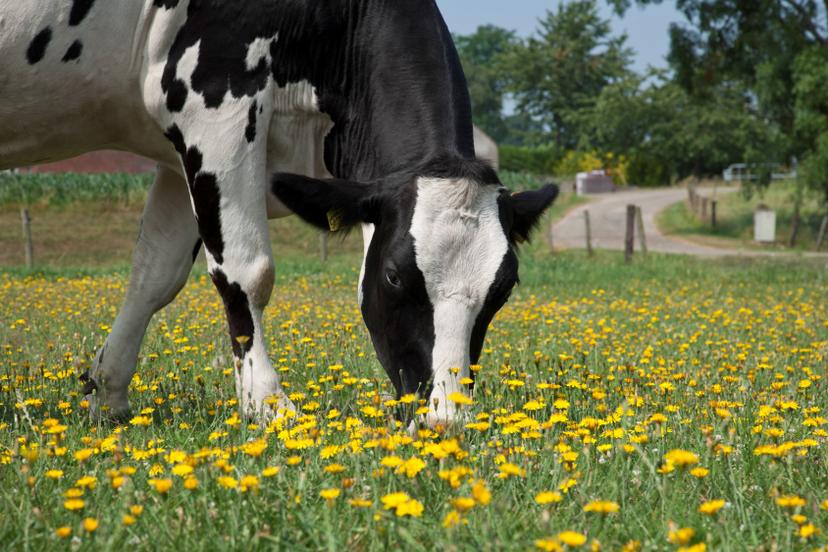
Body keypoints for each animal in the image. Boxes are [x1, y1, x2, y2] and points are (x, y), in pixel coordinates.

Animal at [0, 0, 560, 430]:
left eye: (505, 287)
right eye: (394, 276)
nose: (447, 419)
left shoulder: (177, 157)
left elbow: (154, 275)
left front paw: (108, 395)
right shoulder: (217, 97)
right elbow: (247, 271)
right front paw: (270, 406)